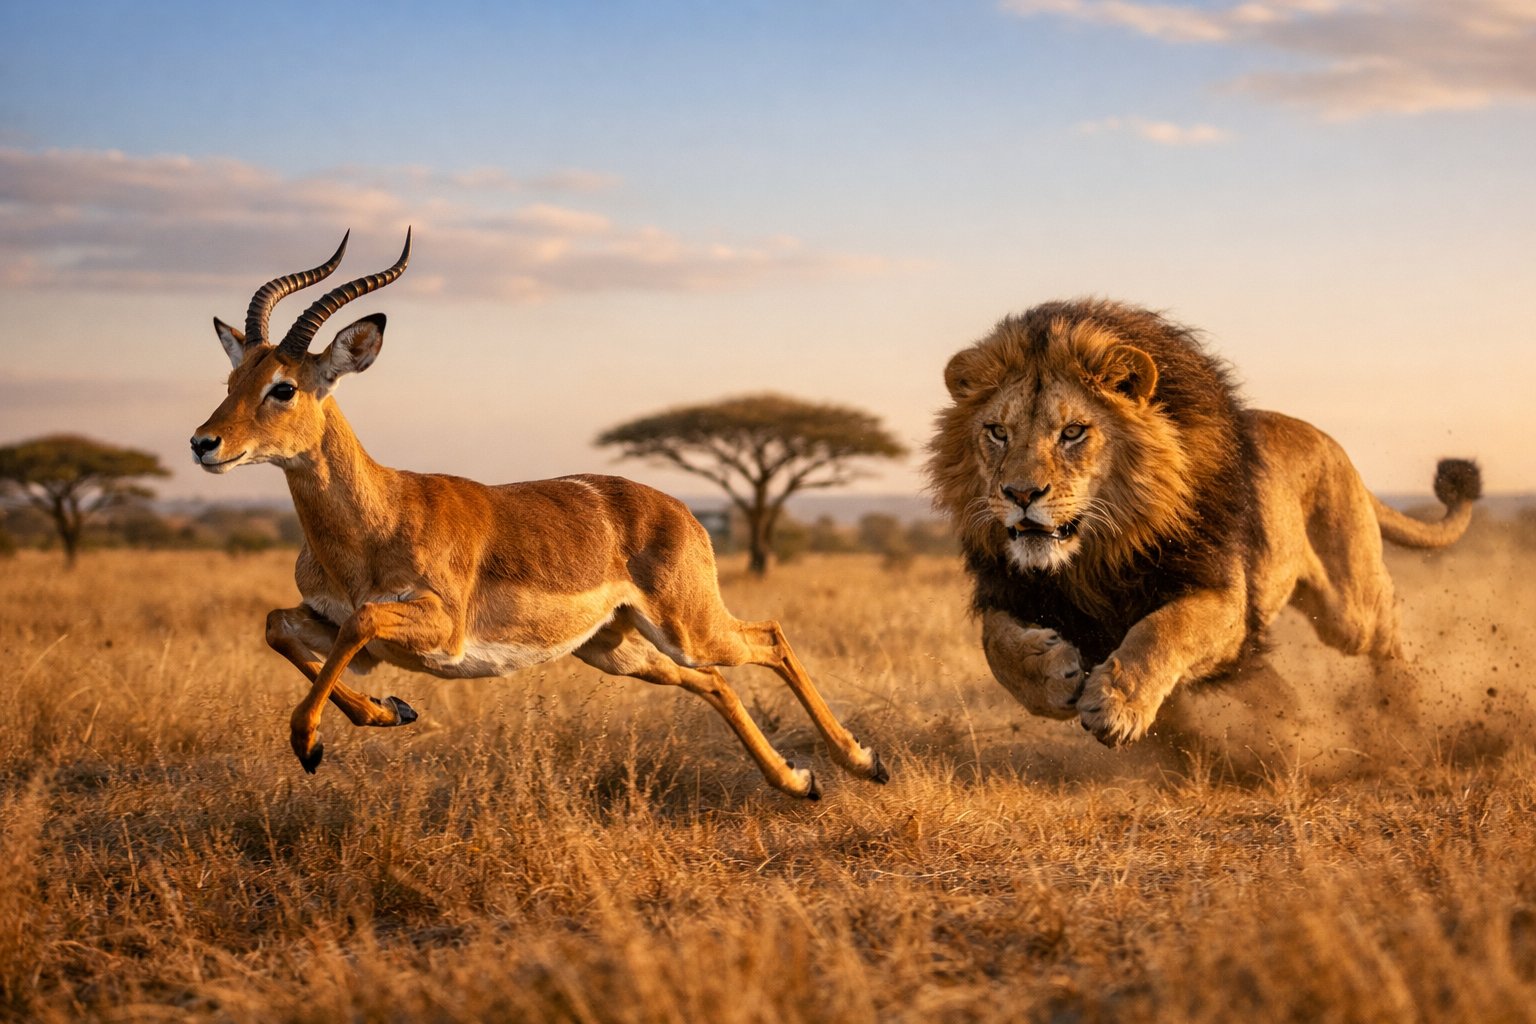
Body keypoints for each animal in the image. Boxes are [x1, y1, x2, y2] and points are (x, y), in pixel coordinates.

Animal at [190, 231, 889, 799]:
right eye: (231, 383)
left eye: (284, 387)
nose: (204, 443)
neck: (376, 522)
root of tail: (680, 510)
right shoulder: (329, 624)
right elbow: (278, 625)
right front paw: (391, 709)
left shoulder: (439, 627)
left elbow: (360, 620)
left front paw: (310, 744)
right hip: (616, 648)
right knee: (715, 681)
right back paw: (800, 782)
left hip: (686, 628)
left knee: (768, 636)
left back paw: (862, 762)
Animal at [926, 298, 1481, 747]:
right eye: (997, 432)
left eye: (1074, 432)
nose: (1020, 495)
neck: (1095, 557)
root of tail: (1334, 447)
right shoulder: (1014, 588)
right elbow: (994, 644)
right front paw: (1051, 675)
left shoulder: (1225, 601)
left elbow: (1162, 630)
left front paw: (1118, 703)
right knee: (1277, 689)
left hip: (1348, 609)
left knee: (1384, 630)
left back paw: (1402, 711)